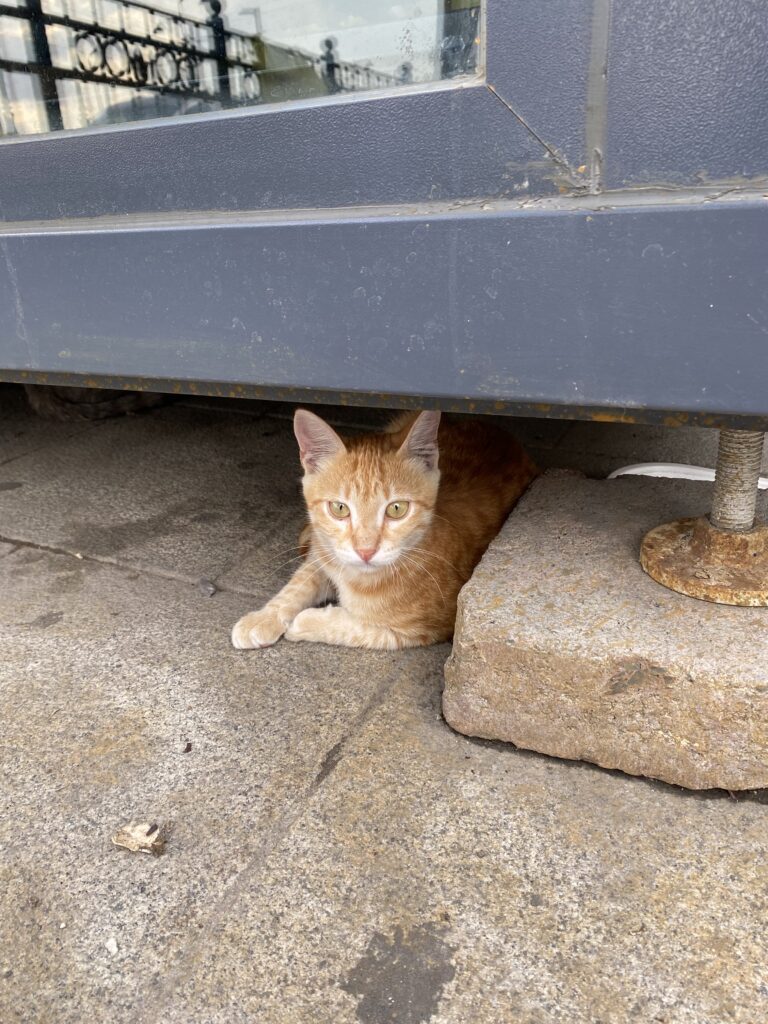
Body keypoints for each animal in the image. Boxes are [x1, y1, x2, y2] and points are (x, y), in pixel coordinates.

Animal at [231, 407, 536, 647]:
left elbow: (361, 628)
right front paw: (263, 617)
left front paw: (306, 622)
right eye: (339, 508)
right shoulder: (325, 554)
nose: (365, 551)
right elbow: (299, 582)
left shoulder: (429, 627)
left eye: (396, 509)